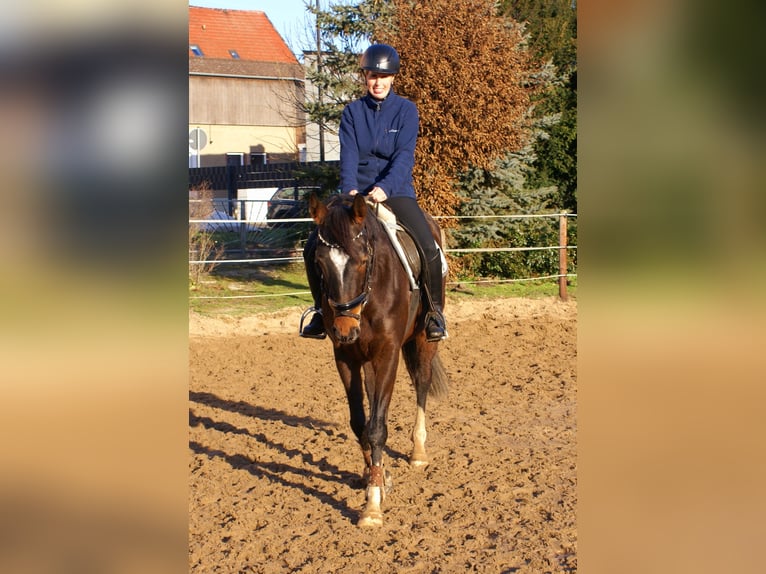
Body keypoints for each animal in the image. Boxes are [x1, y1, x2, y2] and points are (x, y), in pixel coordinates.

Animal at [306, 192, 449, 527]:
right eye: (319, 263)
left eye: (362, 260)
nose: (345, 329)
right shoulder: (345, 357)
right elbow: (361, 423)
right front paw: (377, 476)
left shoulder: (388, 353)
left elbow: (377, 429)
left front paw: (372, 506)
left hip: (423, 340)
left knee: (422, 385)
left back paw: (418, 451)